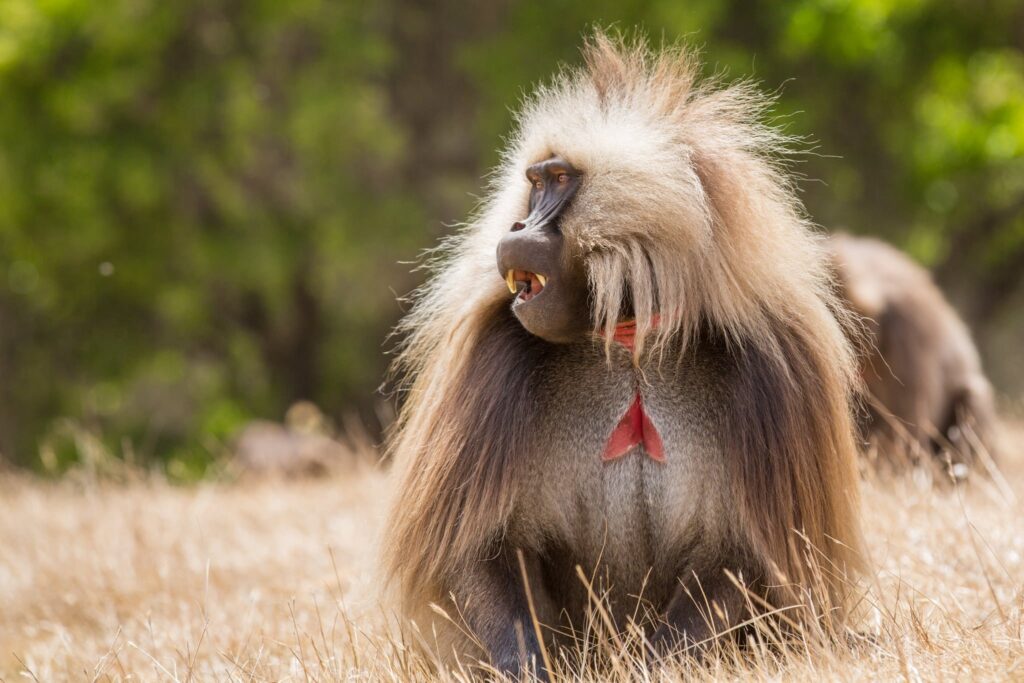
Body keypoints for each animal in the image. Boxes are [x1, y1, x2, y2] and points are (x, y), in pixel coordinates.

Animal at [381, 33, 865, 679]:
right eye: (534, 182)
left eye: (560, 179)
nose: (517, 227)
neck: (631, 338)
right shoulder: (492, 355)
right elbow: (477, 547)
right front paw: (529, 665)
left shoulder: (777, 367)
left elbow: (753, 555)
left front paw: (656, 664)